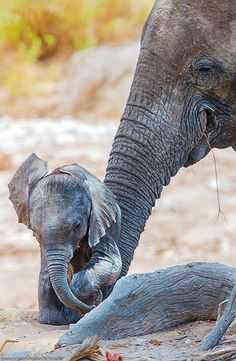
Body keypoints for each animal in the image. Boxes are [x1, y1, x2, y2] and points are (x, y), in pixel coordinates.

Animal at [8, 153, 121, 324]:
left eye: (77, 226)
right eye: (34, 231)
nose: (94, 305)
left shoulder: (102, 221)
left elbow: (110, 260)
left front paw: (94, 298)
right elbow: (47, 274)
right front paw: (62, 317)